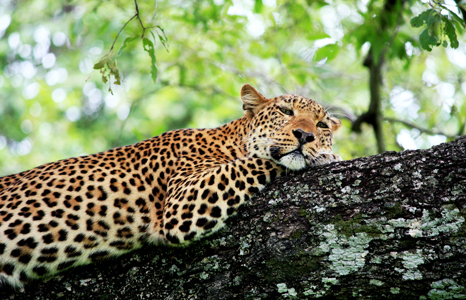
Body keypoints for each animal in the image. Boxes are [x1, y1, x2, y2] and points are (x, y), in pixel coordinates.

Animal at [0, 84, 342, 288]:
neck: (229, 140)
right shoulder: (185, 201)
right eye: (285, 111)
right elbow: (257, 162)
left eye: (322, 124)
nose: (306, 136)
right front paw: (328, 156)